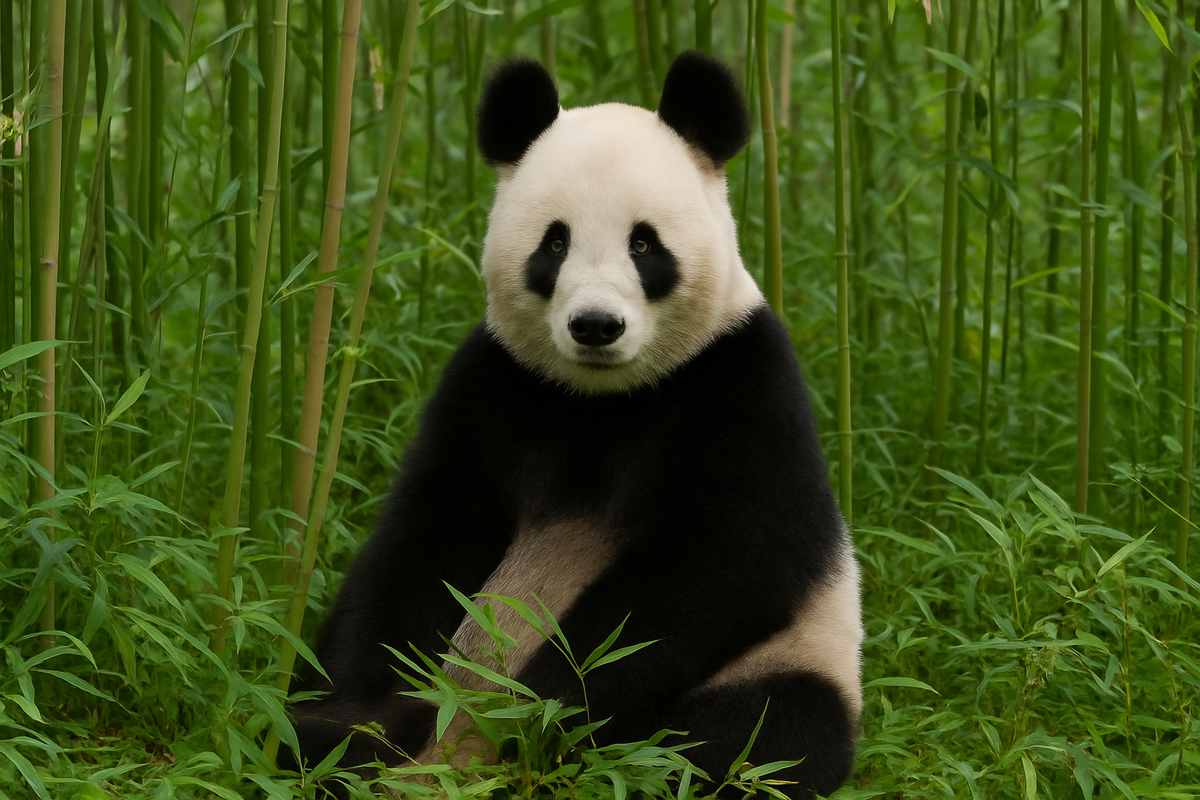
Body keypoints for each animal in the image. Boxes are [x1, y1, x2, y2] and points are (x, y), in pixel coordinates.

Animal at [286, 51, 863, 800]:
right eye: (554, 243)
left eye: (645, 244)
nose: (595, 325)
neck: (604, 398)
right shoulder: (498, 385)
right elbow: (422, 542)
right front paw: (369, 719)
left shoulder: (741, 382)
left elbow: (721, 563)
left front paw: (536, 712)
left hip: (792, 660)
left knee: (748, 739)